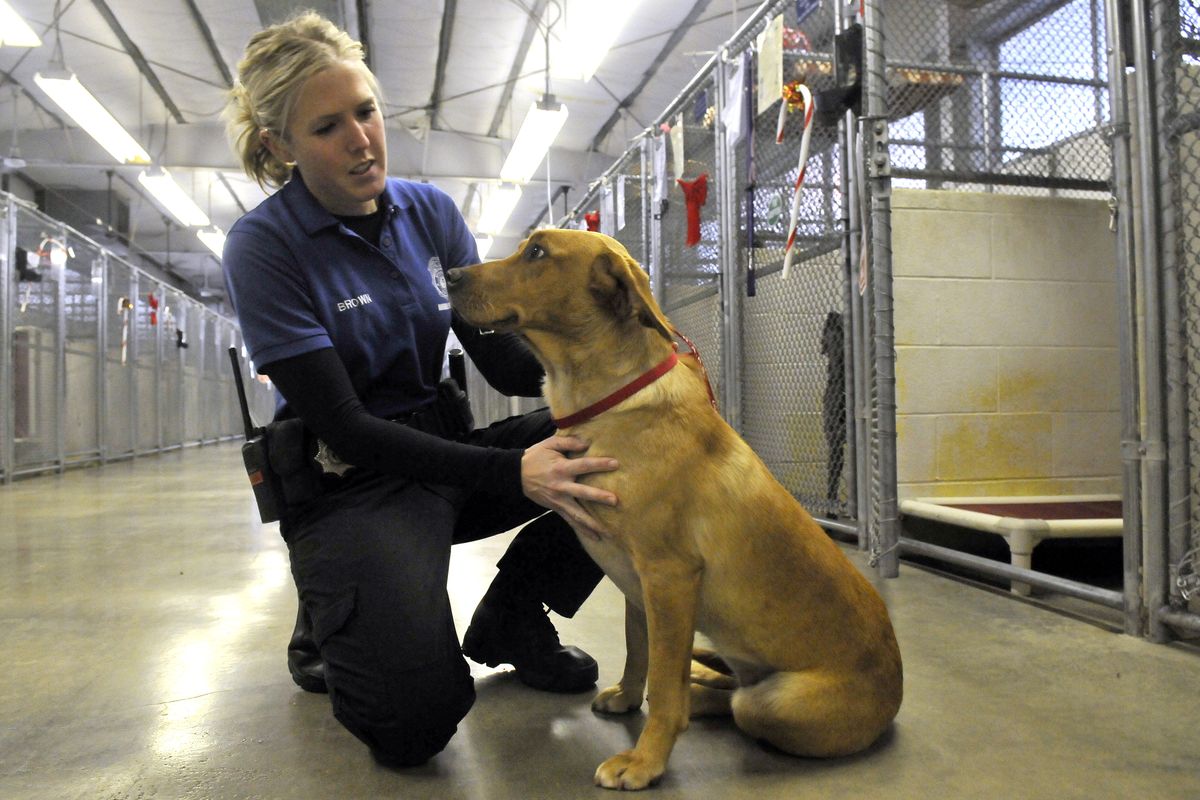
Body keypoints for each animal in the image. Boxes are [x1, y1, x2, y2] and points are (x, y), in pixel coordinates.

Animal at [448, 230, 902, 786]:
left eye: (536, 253)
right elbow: (639, 651)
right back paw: (703, 667)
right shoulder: (639, 585)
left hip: (777, 703)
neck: (608, 404)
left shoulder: (667, 577)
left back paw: (699, 684)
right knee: (721, 686)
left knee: (734, 704)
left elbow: (665, 686)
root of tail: (895, 696)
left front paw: (645, 761)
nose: (449, 275)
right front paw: (627, 696)